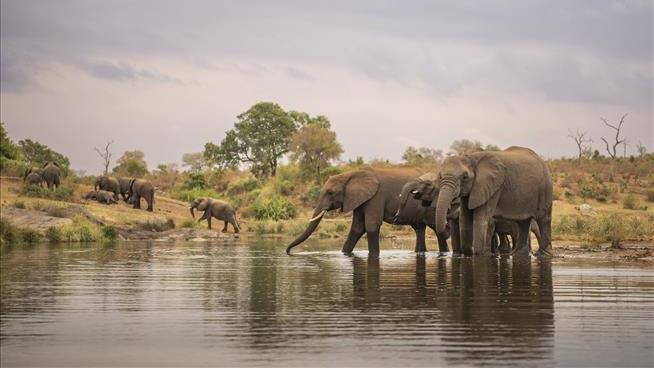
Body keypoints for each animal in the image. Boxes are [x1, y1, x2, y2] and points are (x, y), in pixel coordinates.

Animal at [288, 167, 436, 256]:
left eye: (330, 192)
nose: (288, 251)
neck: (351, 174)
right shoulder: (359, 199)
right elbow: (357, 228)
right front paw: (344, 254)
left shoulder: (376, 196)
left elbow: (371, 225)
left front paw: (374, 255)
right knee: (419, 229)